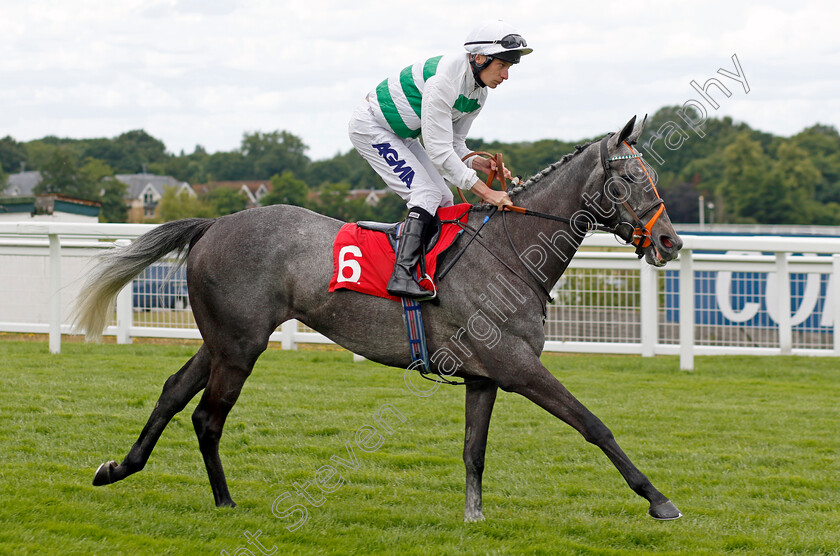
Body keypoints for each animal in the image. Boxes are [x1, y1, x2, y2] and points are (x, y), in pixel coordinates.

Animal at [74, 116, 684, 520]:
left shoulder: (484, 375)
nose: (670, 242)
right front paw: (658, 499)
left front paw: (473, 517)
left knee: (173, 392)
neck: (510, 250)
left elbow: (474, 449)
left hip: (223, 340)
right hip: (240, 345)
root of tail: (214, 223)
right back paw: (224, 500)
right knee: (207, 416)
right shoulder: (515, 366)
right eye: (630, 180)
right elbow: (593, 424)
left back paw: (118, 468)